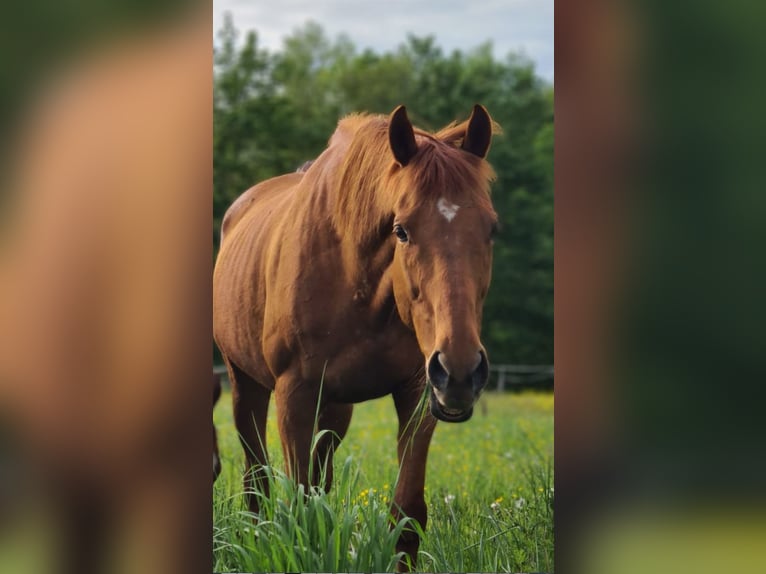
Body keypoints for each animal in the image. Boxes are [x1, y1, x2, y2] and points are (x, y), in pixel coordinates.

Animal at [213, 106, 500, 568]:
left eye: (491, 229)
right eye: (401, 229)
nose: (459, 371)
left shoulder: (417, 392)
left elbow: (406, 513)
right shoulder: (294, 395)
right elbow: (297, 506)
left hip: (335, 409)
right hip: (245, 384)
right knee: (256, 476)